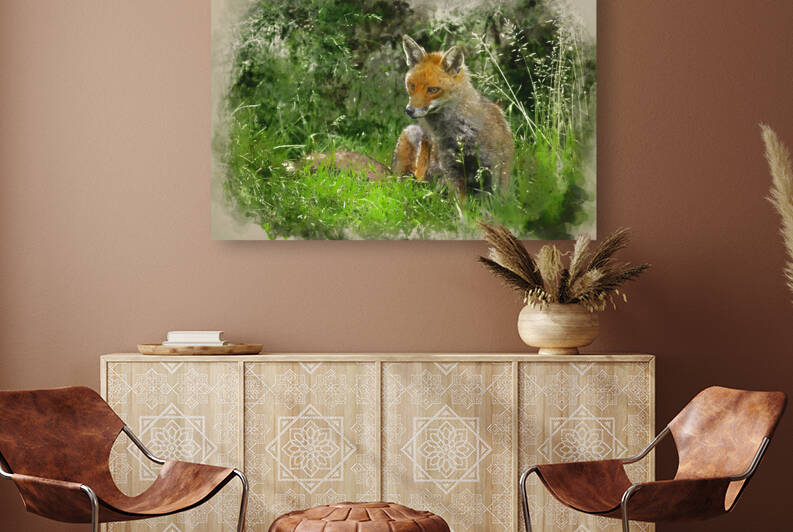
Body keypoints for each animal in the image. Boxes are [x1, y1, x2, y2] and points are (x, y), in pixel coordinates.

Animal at [392, 35, 514, 196]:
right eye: (411, 86)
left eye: (433, 90)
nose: (409, 110)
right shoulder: (451, 168)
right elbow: (459, 201)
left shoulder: (497, 166)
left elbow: (498, 199)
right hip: (409, 136)